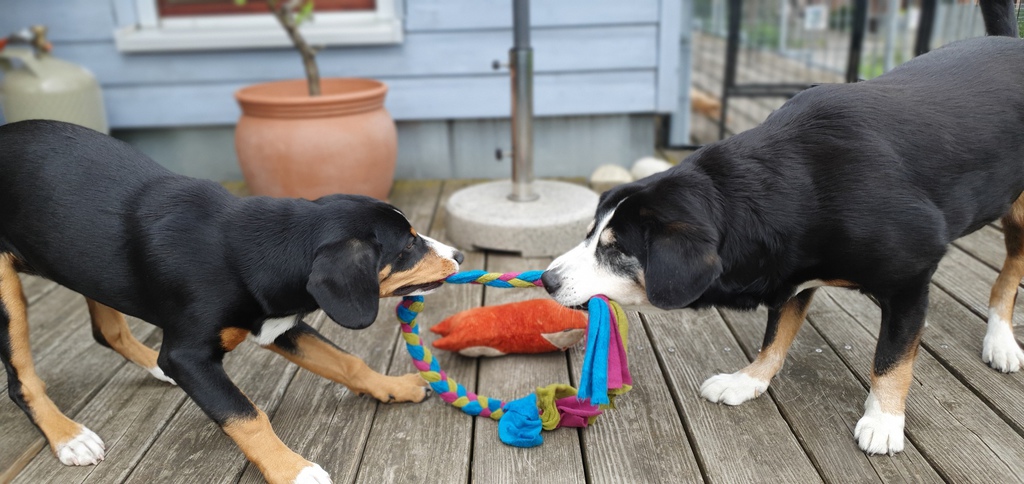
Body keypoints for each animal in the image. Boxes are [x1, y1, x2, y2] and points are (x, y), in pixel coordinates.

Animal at [0, 119, 463, 483]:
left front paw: (393, 386)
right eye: (407, 247)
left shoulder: (279, 323)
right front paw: (293, 470)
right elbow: (247, 415)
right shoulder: (189, 357)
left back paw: (152, 367)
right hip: (7, 293)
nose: (458, 255)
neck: (251, 248)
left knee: (107, 331)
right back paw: (69, 436)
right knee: (22, 380)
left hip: (84, 263)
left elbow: (347, 361)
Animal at [543, 0, 1023, 457]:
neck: (799, 184)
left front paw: (884, 420)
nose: (547, 280)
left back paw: (1000, 340)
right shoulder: (793, 271)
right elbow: (775, 336)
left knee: (1009, 272)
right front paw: (747, 380)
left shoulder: (910, 280)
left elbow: (892, 358)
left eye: (616, 249)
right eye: (591, 233)